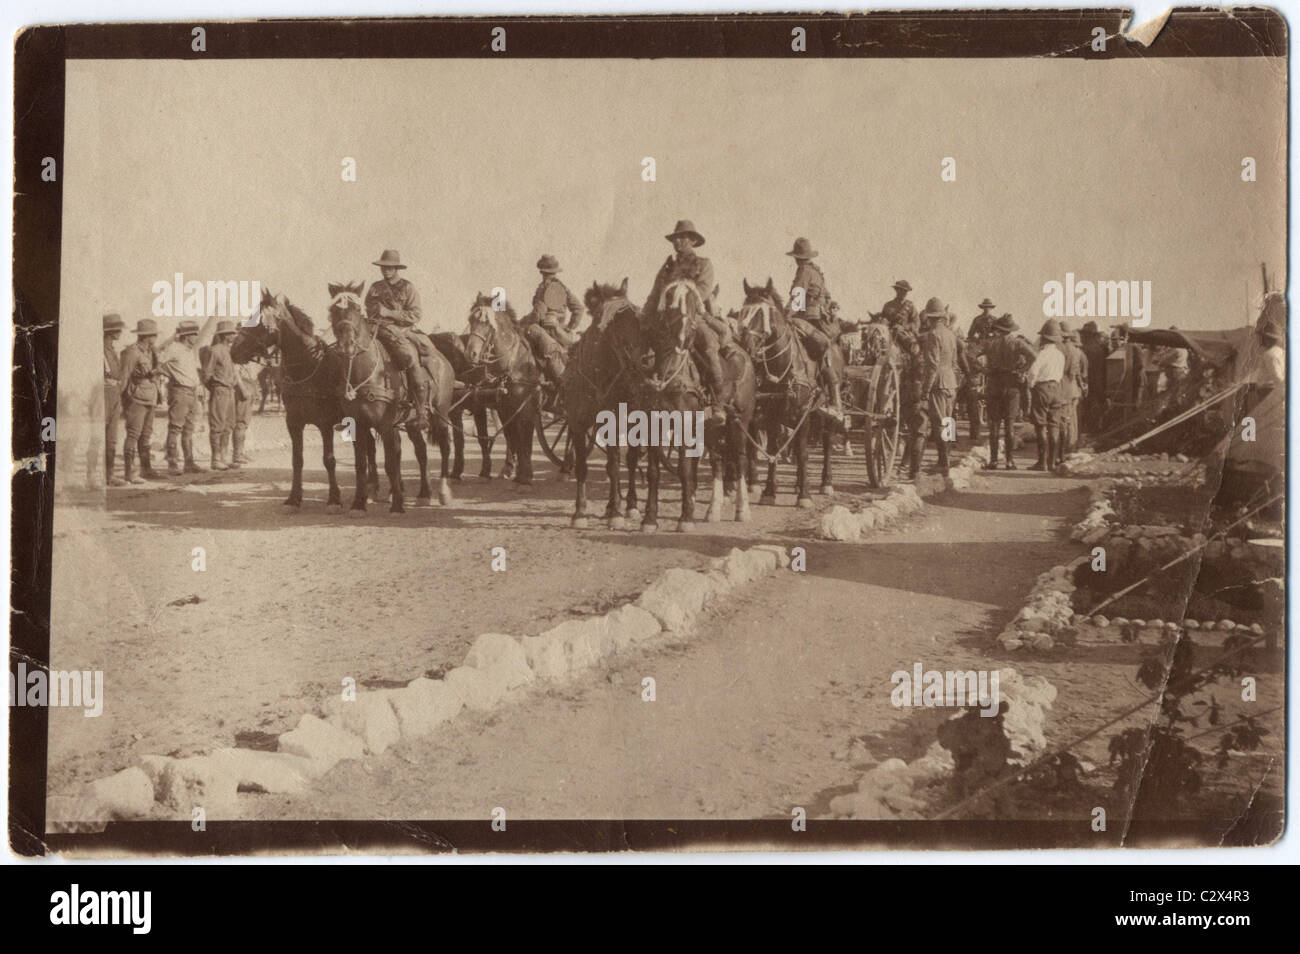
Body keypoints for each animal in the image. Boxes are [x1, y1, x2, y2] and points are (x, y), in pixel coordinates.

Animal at [230, 289, 348, 514]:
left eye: (258, 323)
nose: (234, 351)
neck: (309, 368)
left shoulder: (326, 424)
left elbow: (329, 460)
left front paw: (334, 499)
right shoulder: (293, 423)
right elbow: (297, 460)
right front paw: (294, 498)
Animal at [325, 280, 457, 514]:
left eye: (356, 309)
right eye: (334, 310)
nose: (347, 345)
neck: (367, 373)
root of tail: (443, 361)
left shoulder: (386, 425)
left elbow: (389, 463)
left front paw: (396, 504)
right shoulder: (358, 424)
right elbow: (361, 464)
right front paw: (359, 503)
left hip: (440, 415)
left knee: (445, 447)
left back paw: (443, 493)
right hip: (413, 423)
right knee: (421, 452)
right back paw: (424, 494)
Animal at [462, 293, 538, 488]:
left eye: (488, 324)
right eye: (470, 320)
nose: (470, 354)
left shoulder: (527, 407)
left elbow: (526, 438)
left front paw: (526, 477)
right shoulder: (501, 408)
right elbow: (509, 437)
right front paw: (509, 471)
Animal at [637, 276, 754, 535]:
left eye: (693, 303)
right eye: (671, 301)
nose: (683, 337)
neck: (671, 370)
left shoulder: (684, 425)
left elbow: (685, 469)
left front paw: (685, 517)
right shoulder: (654, 425)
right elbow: (654, 472)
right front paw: (649, 518)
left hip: (739, 421)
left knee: (740, 459)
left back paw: (742, 510)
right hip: (711, 428)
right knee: (717, 461)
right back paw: (713, 510)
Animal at [738, 276, 837, 509]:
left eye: (761, 313)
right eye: (742, 311)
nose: (745, 345)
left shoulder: (803, 413)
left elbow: (803, 452)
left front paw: (805, 495)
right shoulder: (773, 414)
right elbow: (774, 449)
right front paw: (768, 492)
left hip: (824, 413)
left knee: (827, 442)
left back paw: (825, 482)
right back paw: (797, 483)